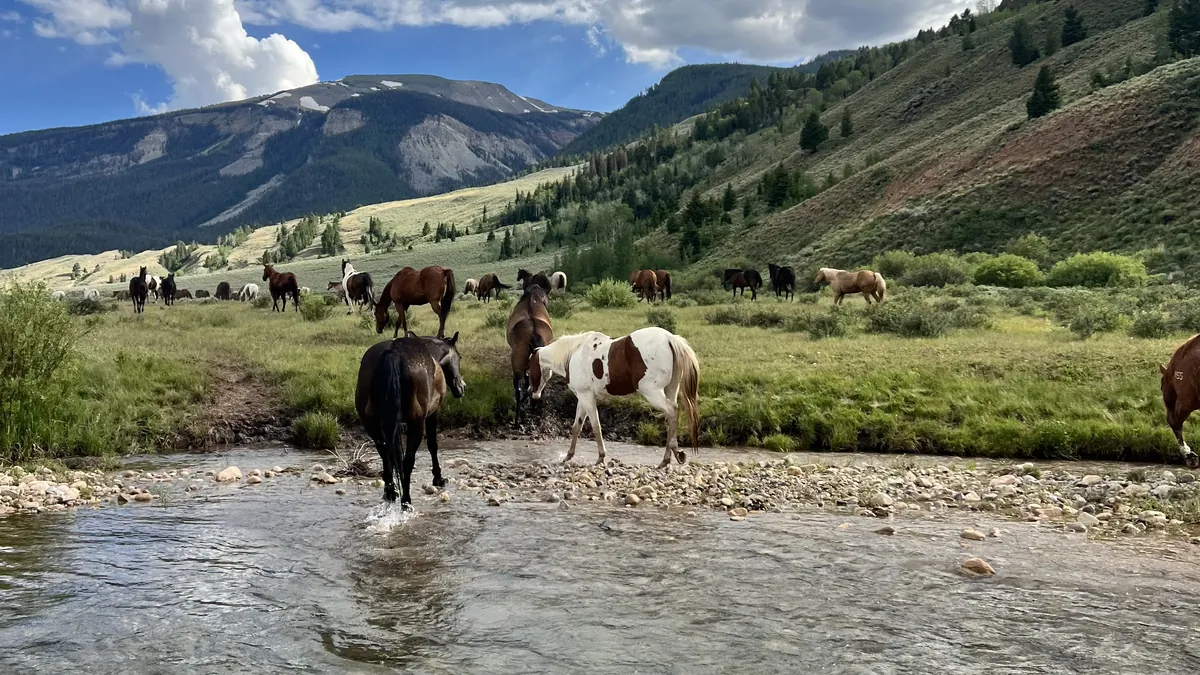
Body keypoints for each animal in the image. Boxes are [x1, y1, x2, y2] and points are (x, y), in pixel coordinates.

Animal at [356, 333, 465, 508]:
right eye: (459, 357)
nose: (461, 388)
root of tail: (393, 353)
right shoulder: (433, 414)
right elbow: (432, 445)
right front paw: (438, 478)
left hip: (371, 424)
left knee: (385, 455)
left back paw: (390, 492)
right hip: (416, 424)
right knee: (407, 462)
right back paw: (406, 501)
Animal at [531, 327, 701, 469]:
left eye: (529, 370)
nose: (534, 395)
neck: (574, 354)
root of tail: (669, 338)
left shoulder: (587, 397)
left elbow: (596, 426)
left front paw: (601, 457)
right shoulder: (583, 398)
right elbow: (576, 427)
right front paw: (568, 456)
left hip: (652, 392)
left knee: (672, 410)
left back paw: (675, 452)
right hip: (670, 389)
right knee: (670, 418)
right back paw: (666, 459)